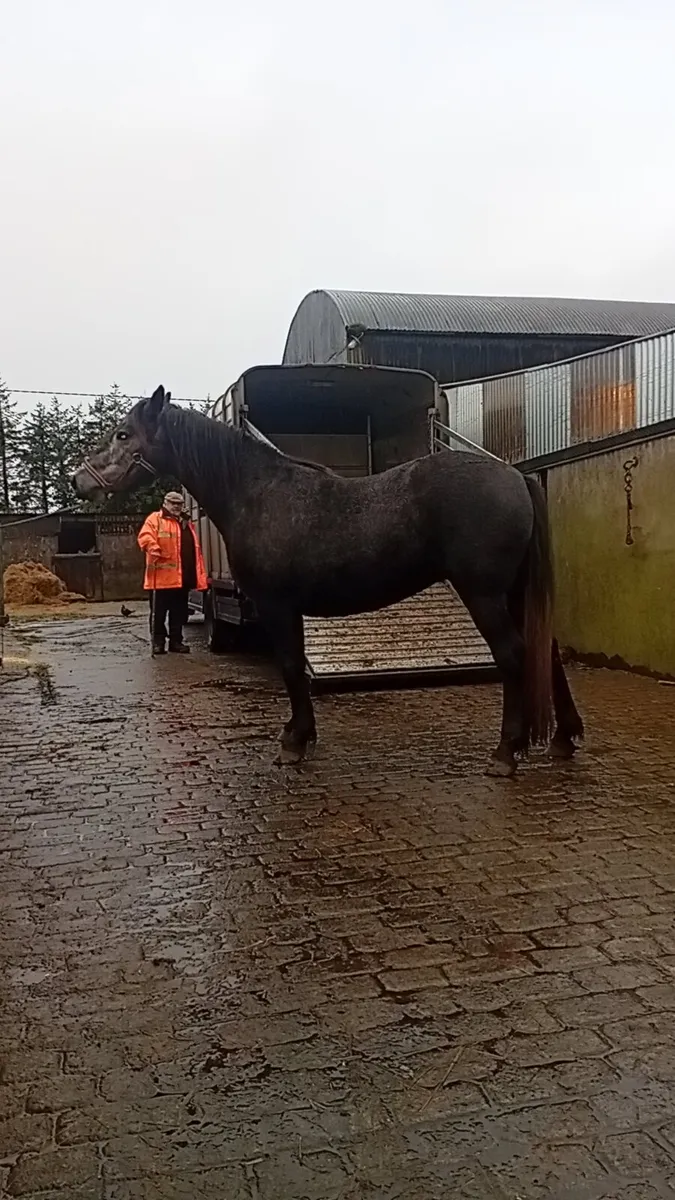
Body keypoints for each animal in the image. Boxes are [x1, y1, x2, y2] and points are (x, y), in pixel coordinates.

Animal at [71, 385, 583, 776]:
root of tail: (515, 477)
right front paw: (300, 735)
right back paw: (563, 738)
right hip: (514, 591)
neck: (255, 492)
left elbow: (291, 667)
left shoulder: (278, 605)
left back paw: (506, 752)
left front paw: (294, 743)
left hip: (484, 594)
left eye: (123, 433)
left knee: (514, 654)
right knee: (546, 650)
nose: (80, 481)